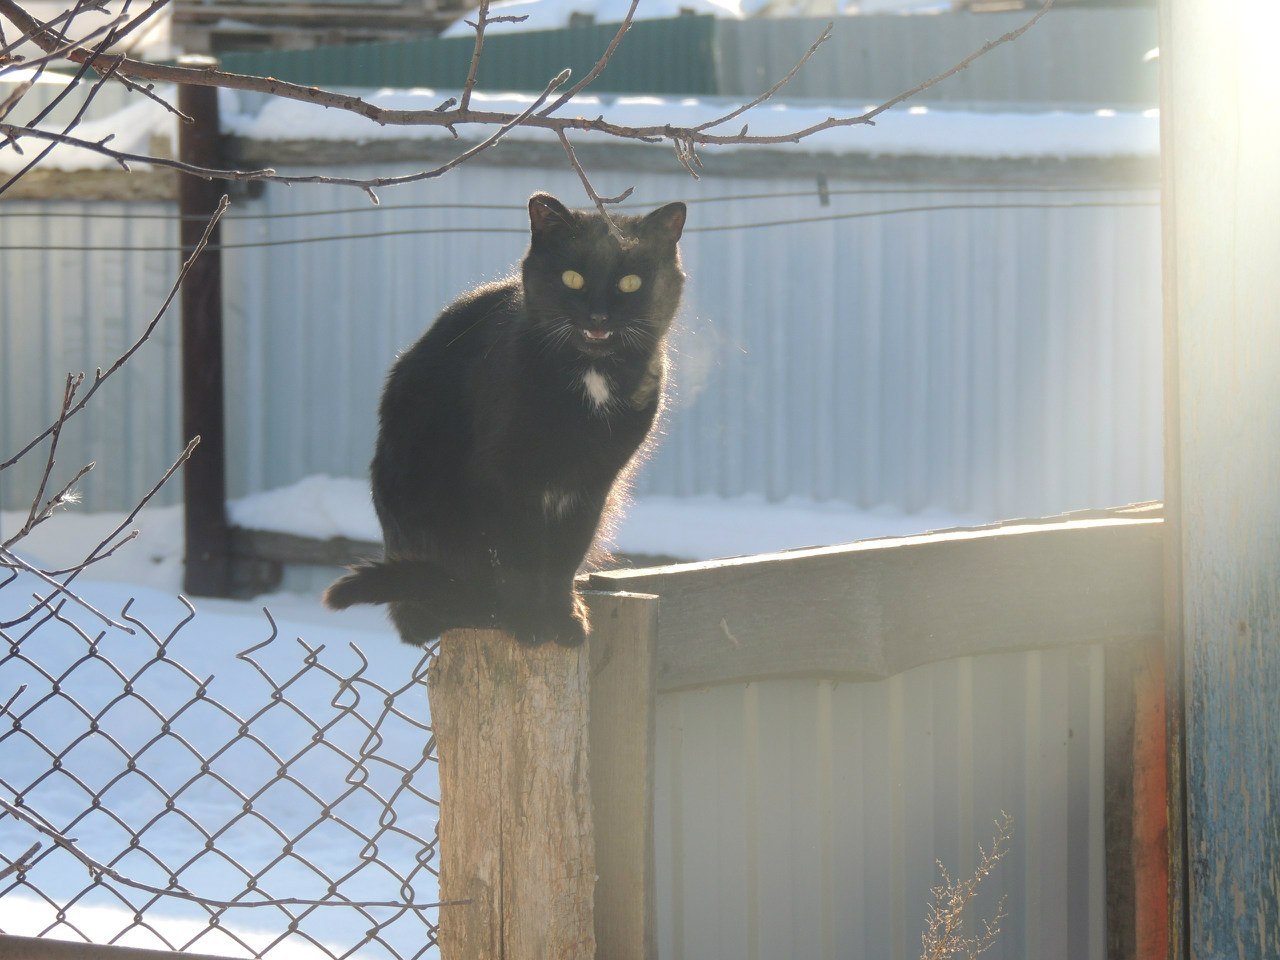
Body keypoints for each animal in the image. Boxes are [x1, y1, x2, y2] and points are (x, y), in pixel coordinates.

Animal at [325, 193, 691, 650]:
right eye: (572, 278)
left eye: (630, 283)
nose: (598, 317)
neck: (591, 377)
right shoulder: (506, 479)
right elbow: (521, 556)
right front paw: (530, 623)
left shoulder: (593, 485)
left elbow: (565, 557)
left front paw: (564, 619)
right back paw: (481, 609)